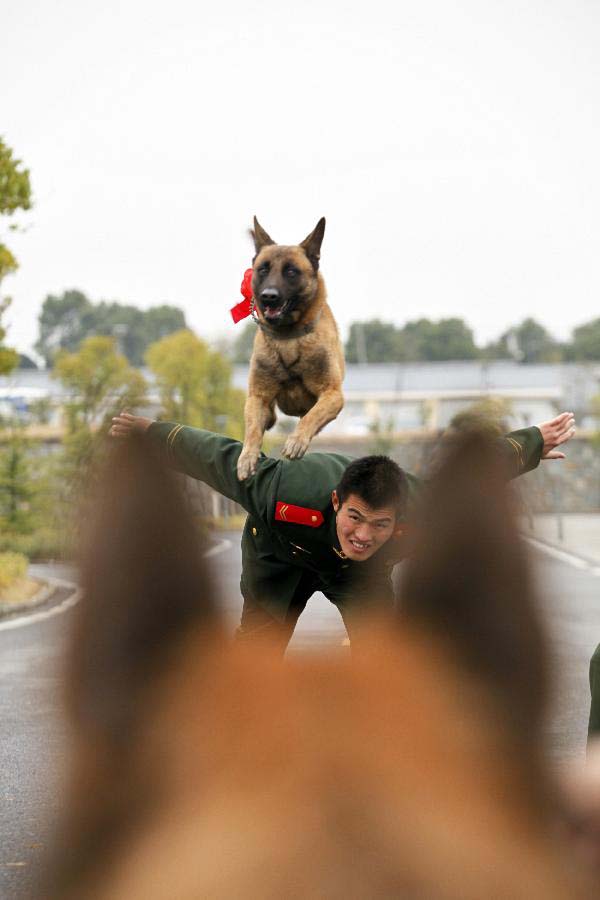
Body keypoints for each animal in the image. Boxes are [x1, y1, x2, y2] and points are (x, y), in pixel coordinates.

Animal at [237, 217, 344, 482]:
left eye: (291, 272)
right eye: (263, 269)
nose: (269, 297)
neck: (288, 337)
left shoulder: (333, 394)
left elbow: (312, 416)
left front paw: (296, 441)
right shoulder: (258, 396)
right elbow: (252, 428)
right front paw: (246, 458)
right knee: (268, 418)